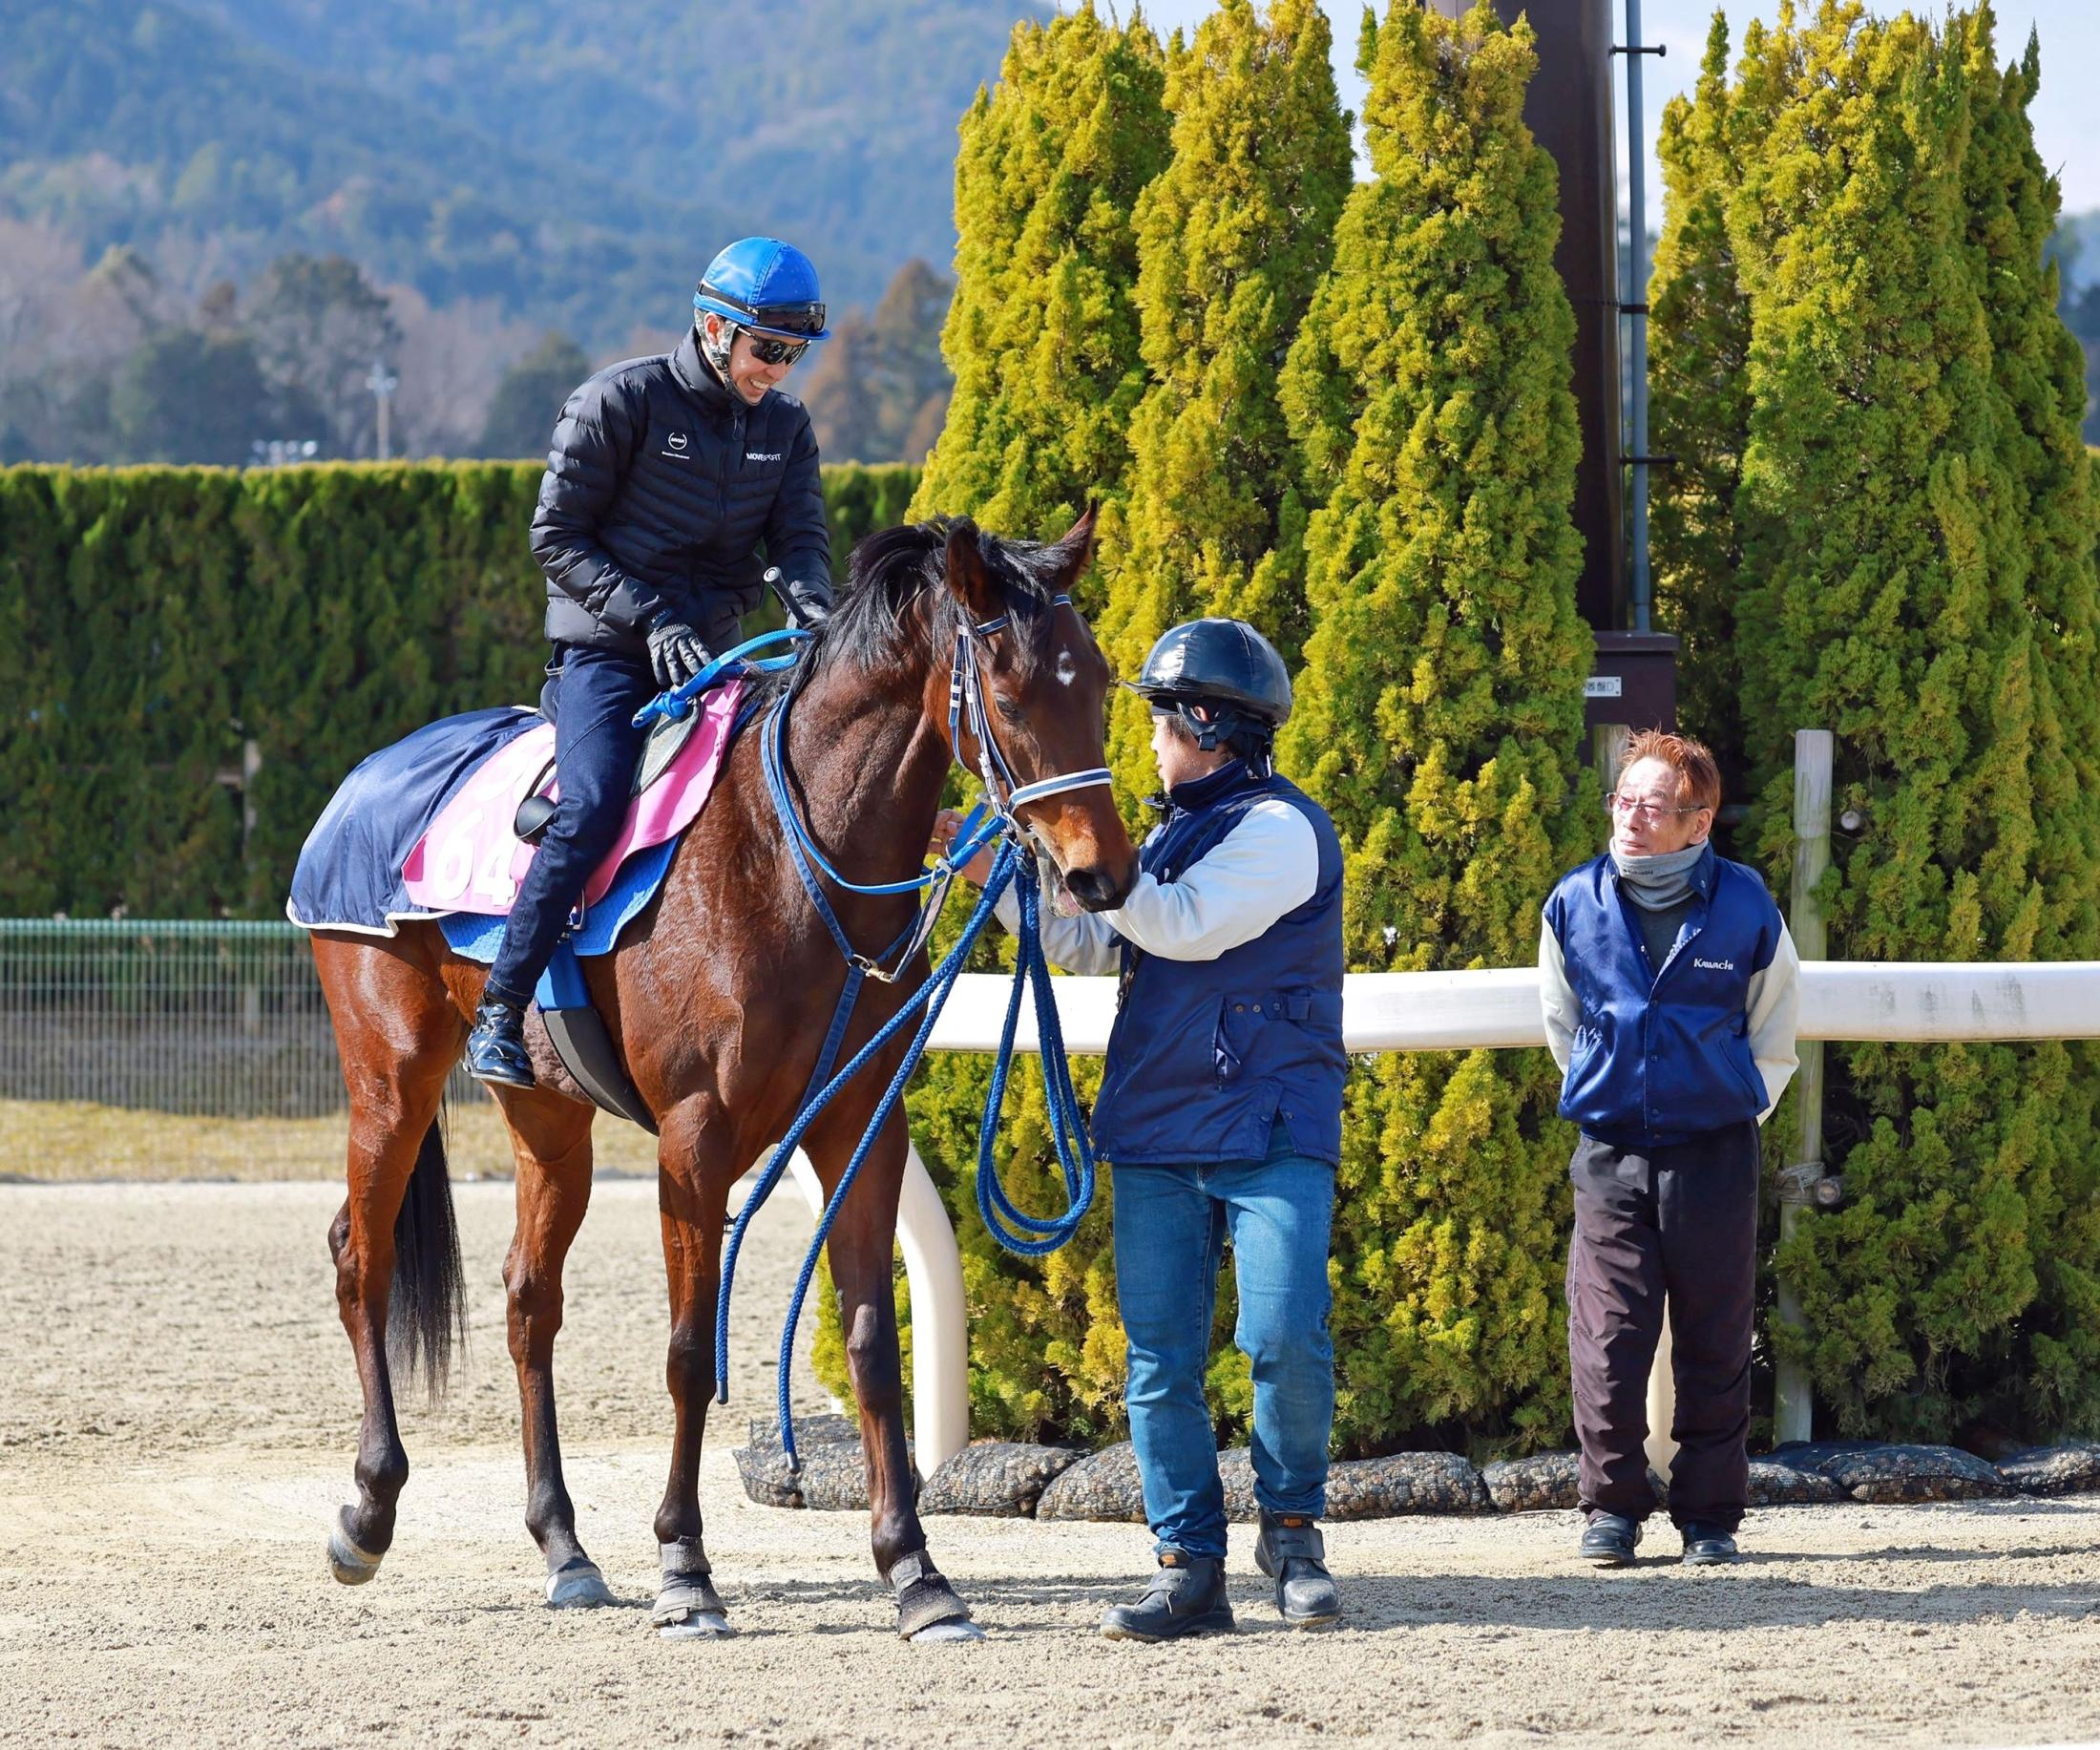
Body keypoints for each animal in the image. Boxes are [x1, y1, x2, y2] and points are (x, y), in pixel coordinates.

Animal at [308, 508, 1134, 1638]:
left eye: (1097, 681)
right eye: (1008, 697)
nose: (1104, 873)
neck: (791, 859)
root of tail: (369, 778)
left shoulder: (859, 1125)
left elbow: (874, 1342)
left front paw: (914, 1569)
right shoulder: (694, 1144)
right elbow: (690, 1352)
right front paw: (685, 1566)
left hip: (548, 1122)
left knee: (529, 1300)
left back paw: (564, 1546)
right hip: (390, 1081)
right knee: (364, 1258)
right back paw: (368, 1509)